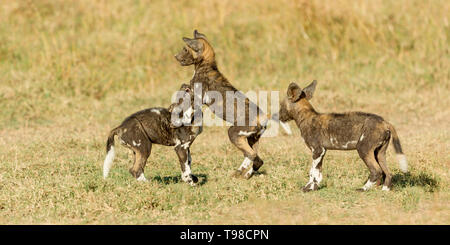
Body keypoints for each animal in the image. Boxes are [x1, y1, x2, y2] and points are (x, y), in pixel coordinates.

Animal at [175, 31, 268, 180]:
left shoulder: (198, 98)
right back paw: (244, 174)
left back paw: (241, 174)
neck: (206, 65)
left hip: (233, 133)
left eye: (185, 49)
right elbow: (184, 87)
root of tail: (263, 118)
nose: (175, 56)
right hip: (251, 139)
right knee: (255, 158)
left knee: (253, 156)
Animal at [278, 80, 408, 191]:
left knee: (376, 171)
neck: (307, 117)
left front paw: (308, 188)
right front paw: (313, 187)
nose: (278, 116)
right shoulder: (321, 152)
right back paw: (385, 189)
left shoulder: (317, 151)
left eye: (280, 106)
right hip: (379, 153)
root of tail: (384, 122)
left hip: (363, 149)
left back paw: (363, 189)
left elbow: (312, 172)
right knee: (387, 172)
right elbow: (317, 173)